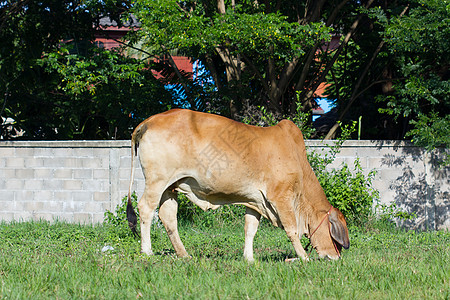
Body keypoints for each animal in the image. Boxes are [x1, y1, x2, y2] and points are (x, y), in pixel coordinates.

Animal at [127, 109, 352, 262]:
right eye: (336, 239)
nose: (336, 258)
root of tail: (149, 121)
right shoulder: (281, 198)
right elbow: (291, 229)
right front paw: (304, 257)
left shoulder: (255, 201)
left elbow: (250, 229)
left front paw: (249, 258)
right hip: (157, 181)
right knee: (146, 209)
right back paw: (147, 251)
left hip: (170, 187)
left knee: (168, 217)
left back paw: (184, 254)